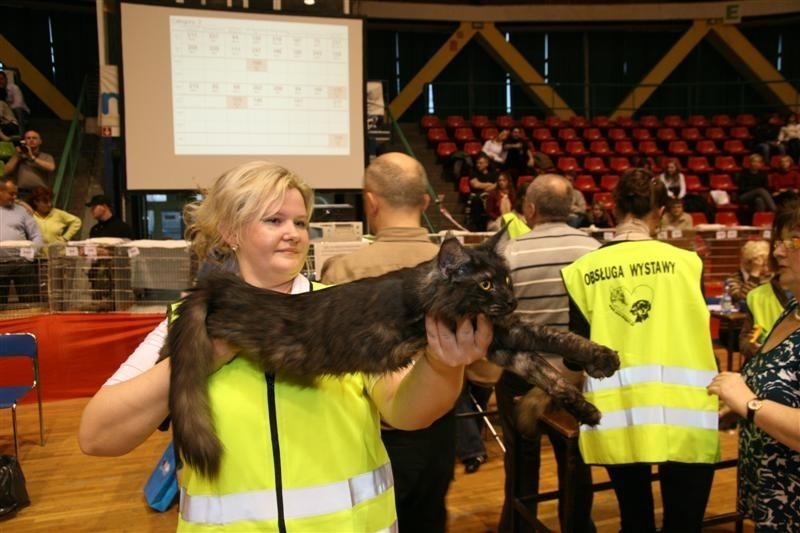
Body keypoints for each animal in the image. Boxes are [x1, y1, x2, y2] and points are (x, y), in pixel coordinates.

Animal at [162, 230, 620, 478]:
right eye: (486, 284)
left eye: (506, 279)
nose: (509, 301)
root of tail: (221, 286)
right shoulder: (498, 334)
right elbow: (553, 341)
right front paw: (602, 360)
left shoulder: (502, 343)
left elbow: (551, 369)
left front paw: (587, 401)